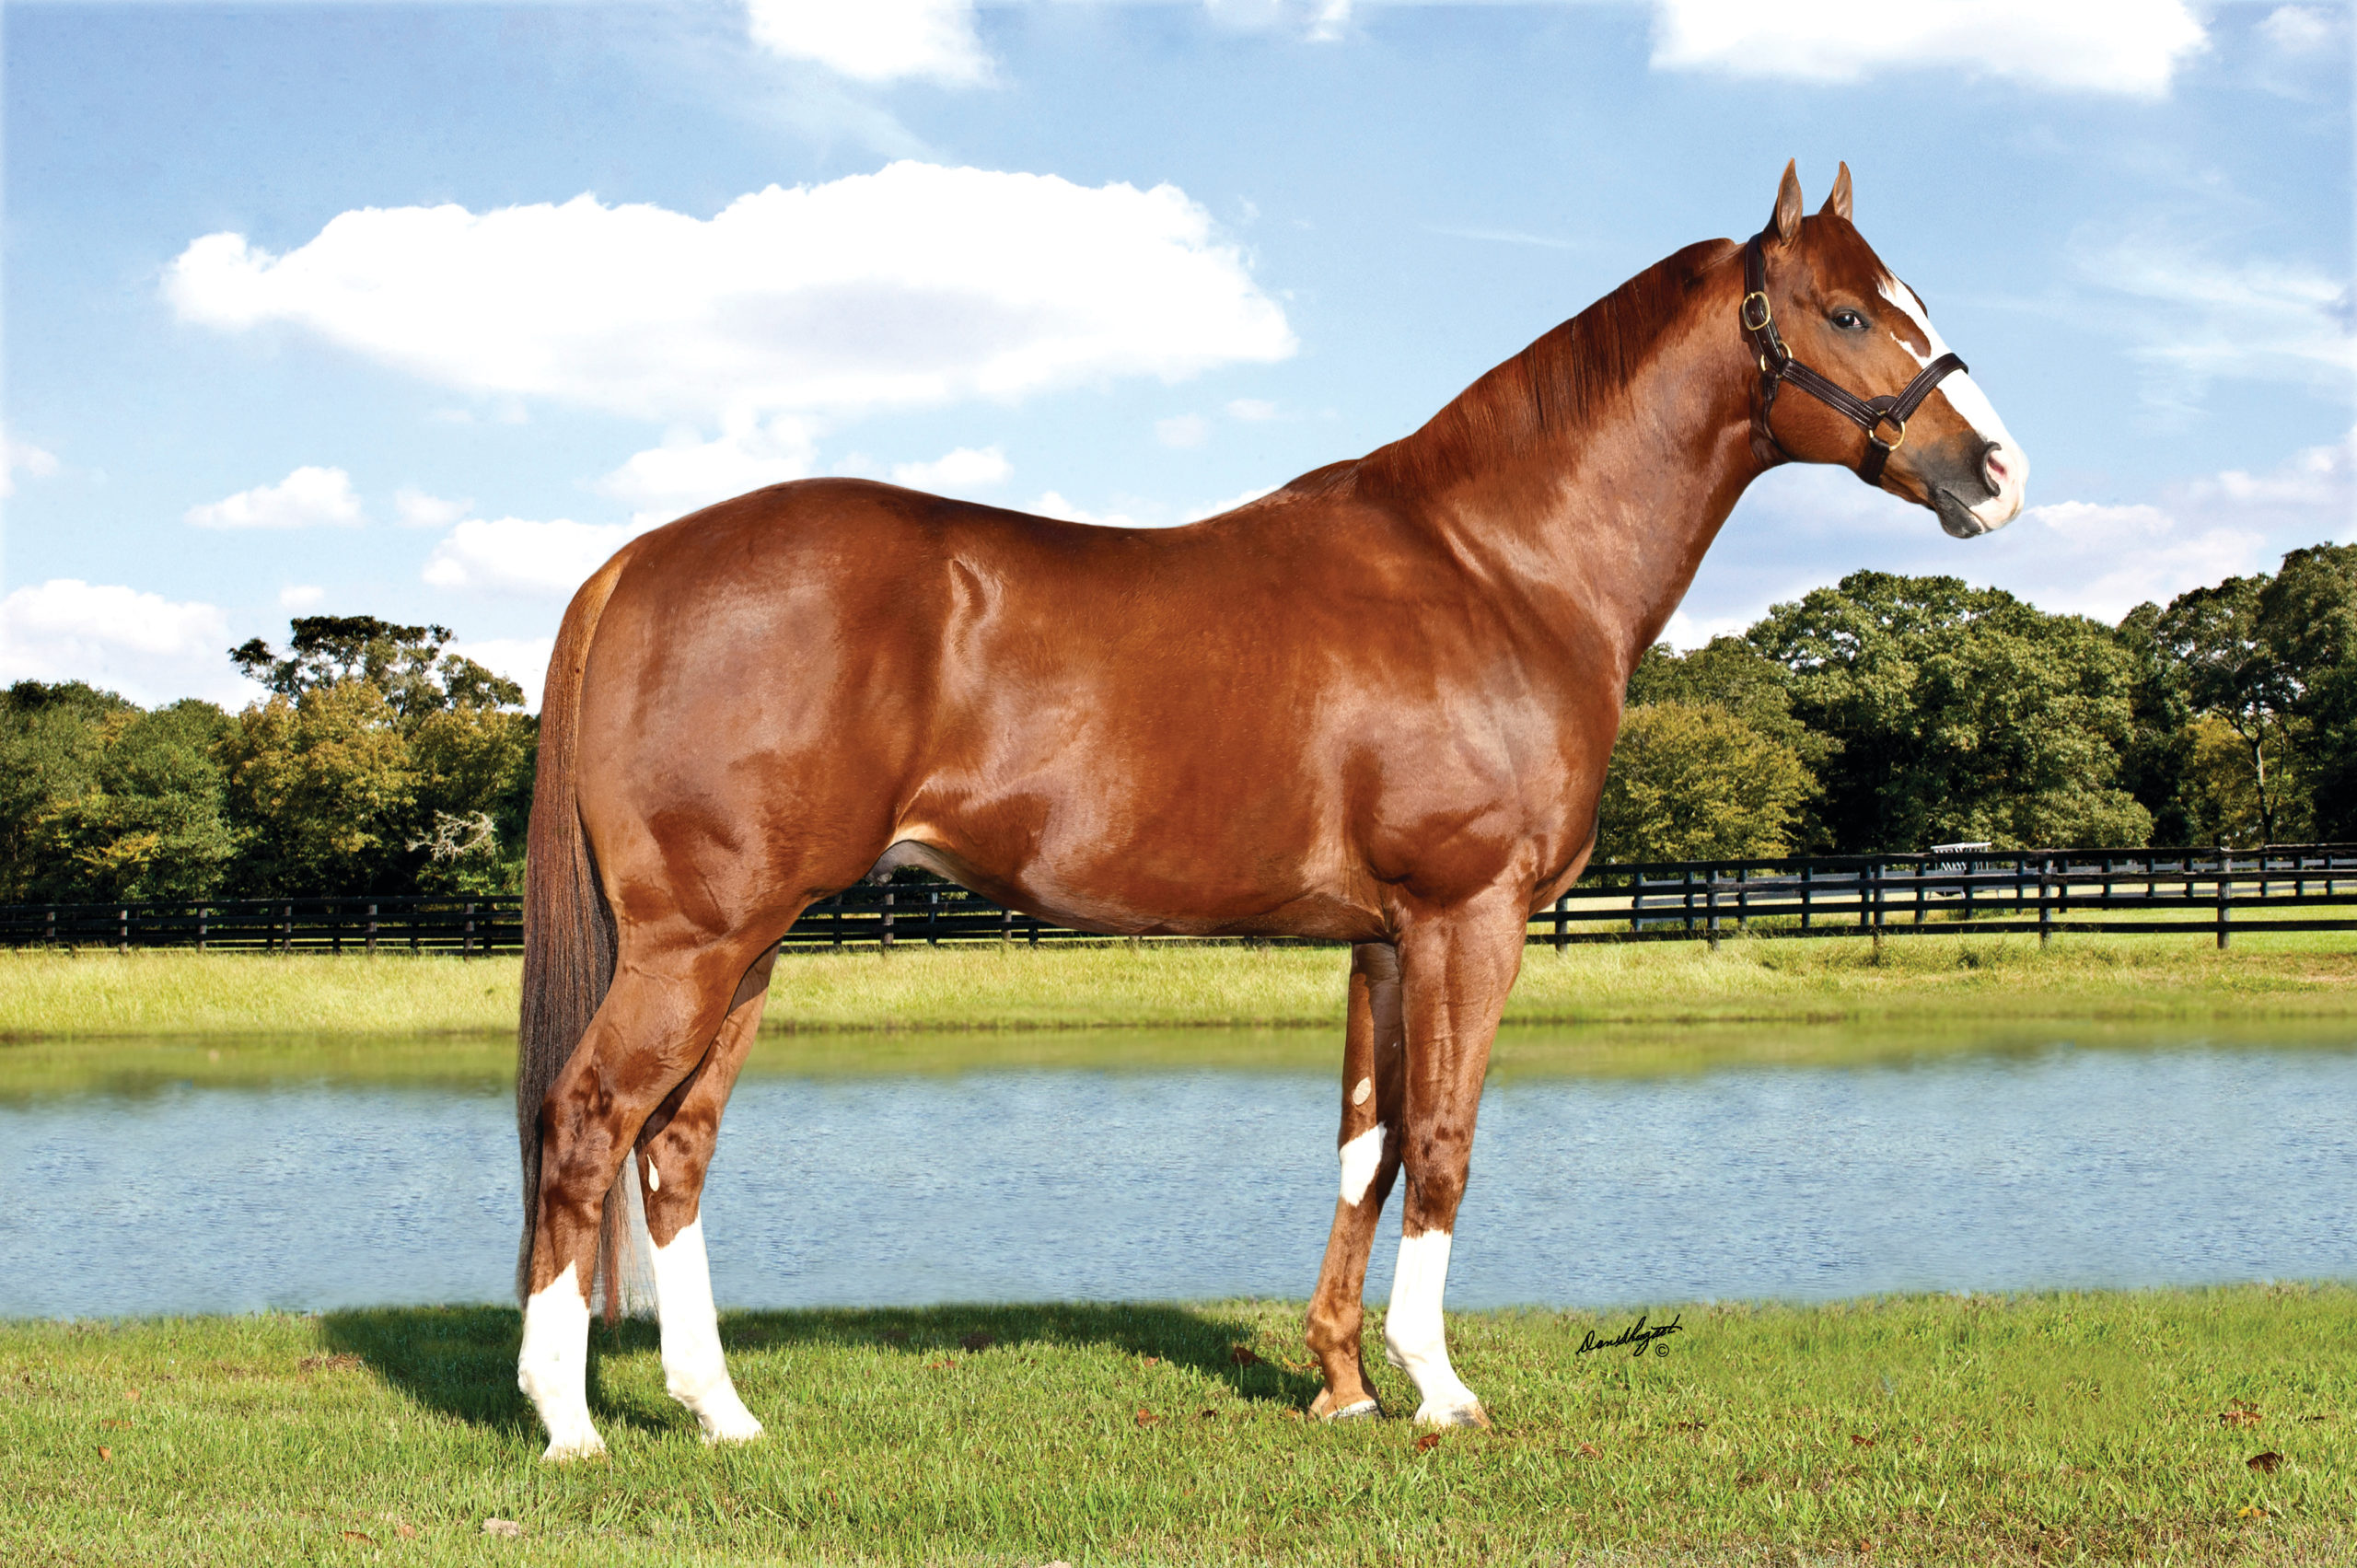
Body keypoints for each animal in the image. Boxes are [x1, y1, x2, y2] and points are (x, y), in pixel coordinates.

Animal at [512, 161, 2027, 1458]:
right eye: (1848, 312)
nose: (1998, 473)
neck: (1498, 566)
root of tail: (638, 560)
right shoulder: (1468, 915)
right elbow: (1445, 1140)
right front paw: (1439, 1387)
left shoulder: (1381, 937)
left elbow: (1367, 1144)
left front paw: (1345, 1382)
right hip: (697, 938)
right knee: (588, 1120)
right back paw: (570, 1421)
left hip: (751, 941)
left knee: (675, 1146)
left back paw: (720, 1411)